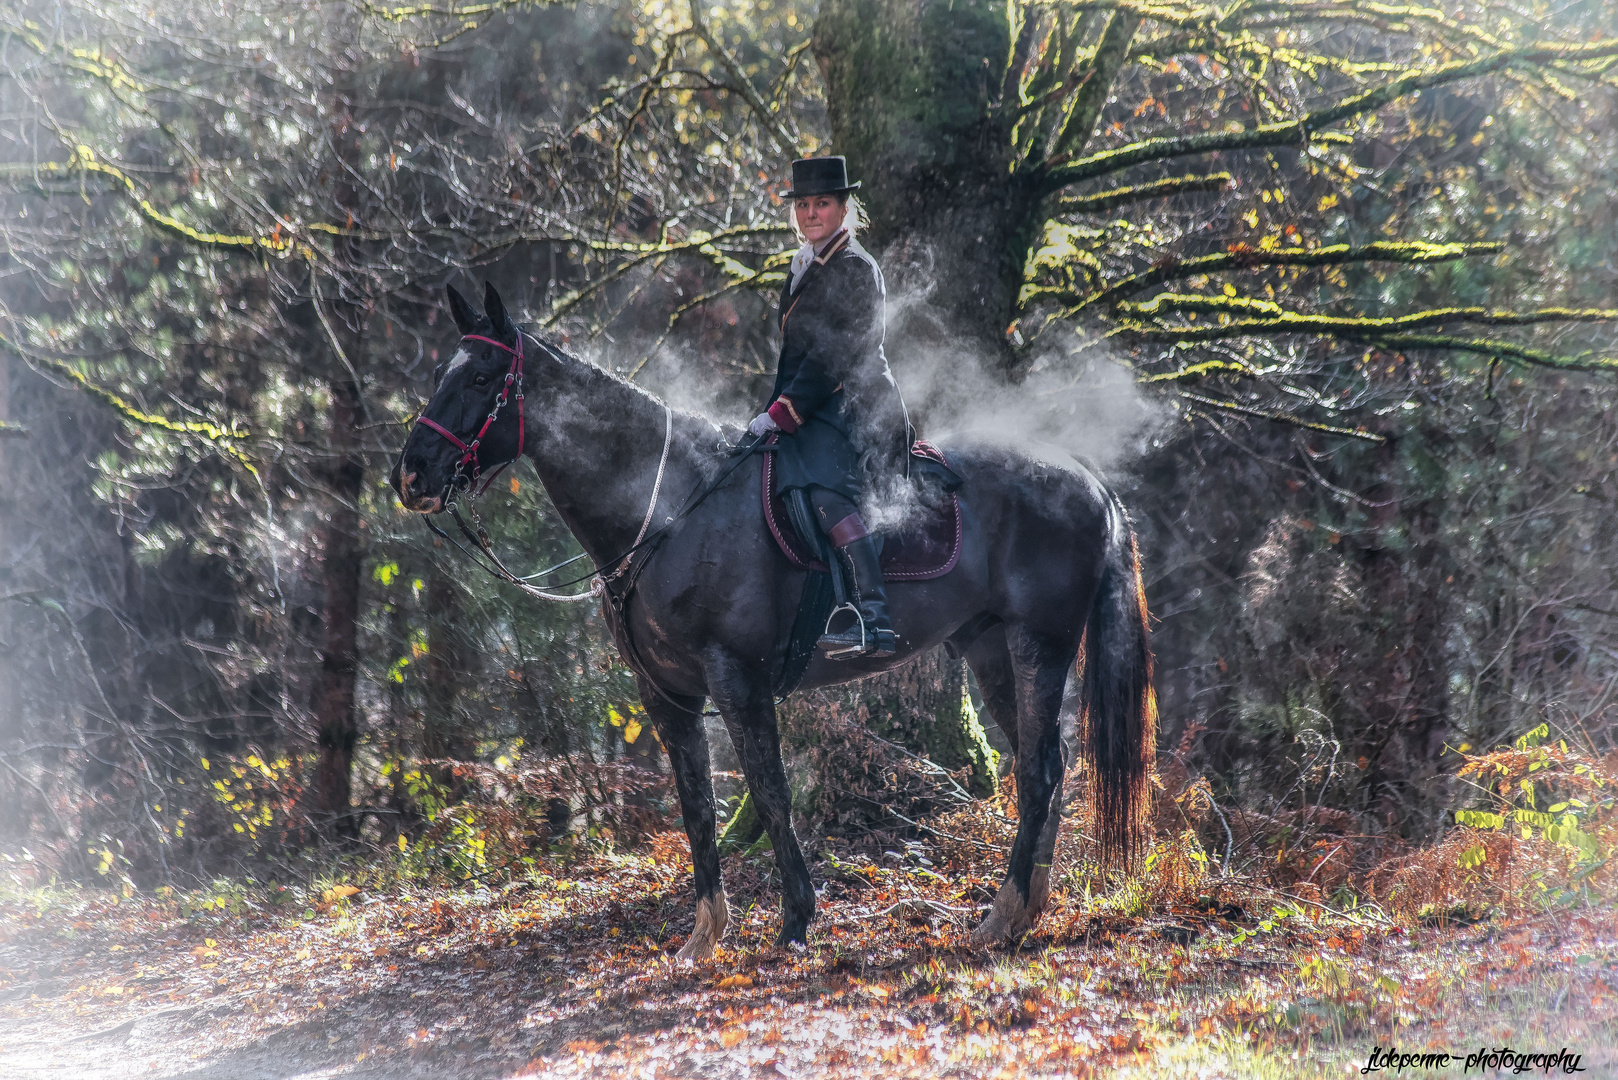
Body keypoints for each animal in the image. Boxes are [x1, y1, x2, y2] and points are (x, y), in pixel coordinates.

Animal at [388, 283, 1152, 958]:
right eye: (440, 373)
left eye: (482, 375)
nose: (412, 475)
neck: (671, 510)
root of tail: (1084, 475)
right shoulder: (665, 694)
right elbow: (695, 804)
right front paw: (704, 935)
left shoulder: (737, 679)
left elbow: (770, 791)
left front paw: (795, 922)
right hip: (989, 645)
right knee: (1040, 762)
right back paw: (1023, 910)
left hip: (1040, 640)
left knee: (1041, 769)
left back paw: (1002, 915)